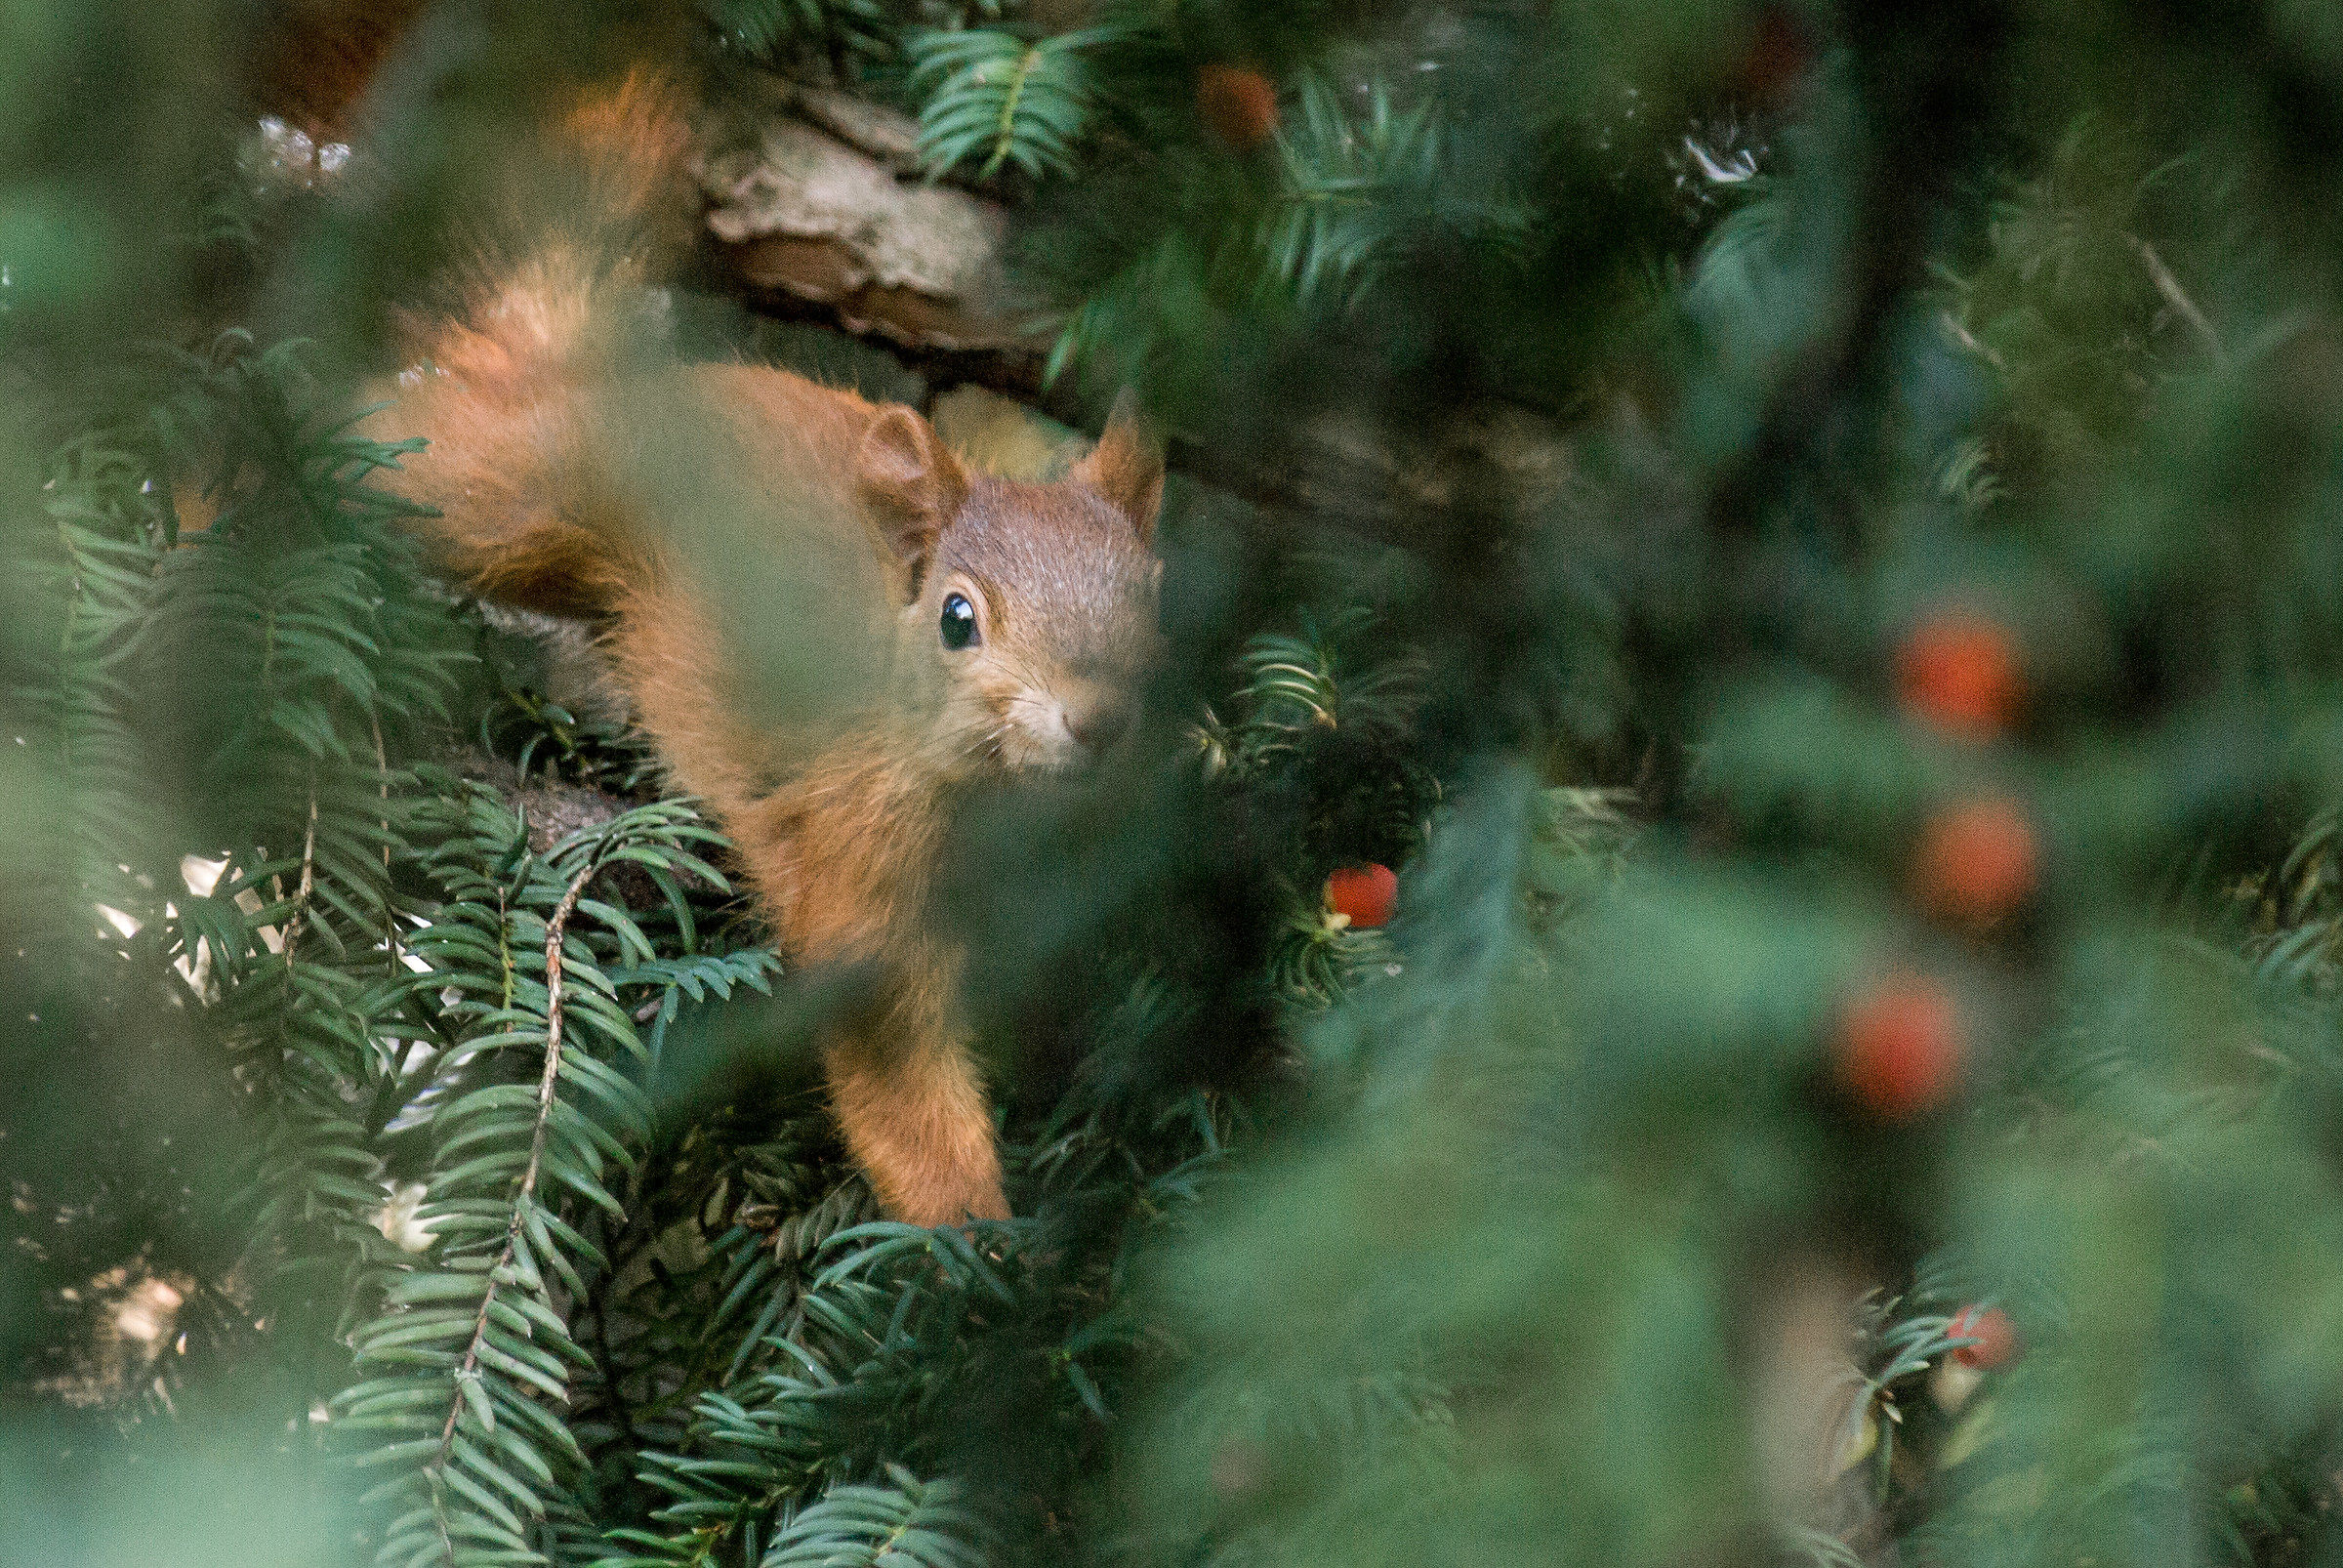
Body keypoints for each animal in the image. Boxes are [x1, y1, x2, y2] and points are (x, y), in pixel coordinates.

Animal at [362, 67, 1165, 1226]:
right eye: (957, 618)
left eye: (1154, 595)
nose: (1096, 720)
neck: (1006, 807)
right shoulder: (856, 849)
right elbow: (894, 1063)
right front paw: (977, 1236)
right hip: (517, 497)